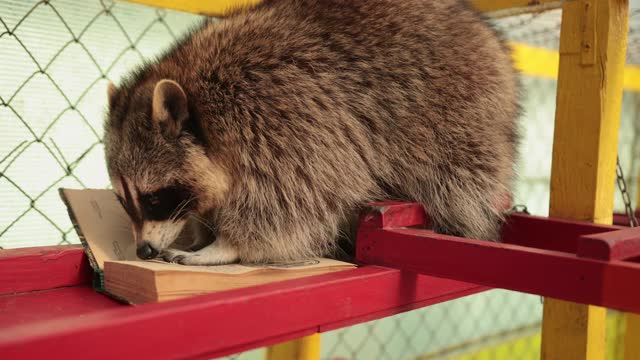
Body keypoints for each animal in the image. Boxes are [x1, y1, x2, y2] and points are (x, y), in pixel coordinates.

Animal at [104, 0, 520, 264]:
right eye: (124, 202)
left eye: (154, 198)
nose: (143, 252)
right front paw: (203, 230)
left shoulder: (287, 117)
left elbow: (295, 198)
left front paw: (226, 246)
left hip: (459, 116)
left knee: (456, 179)